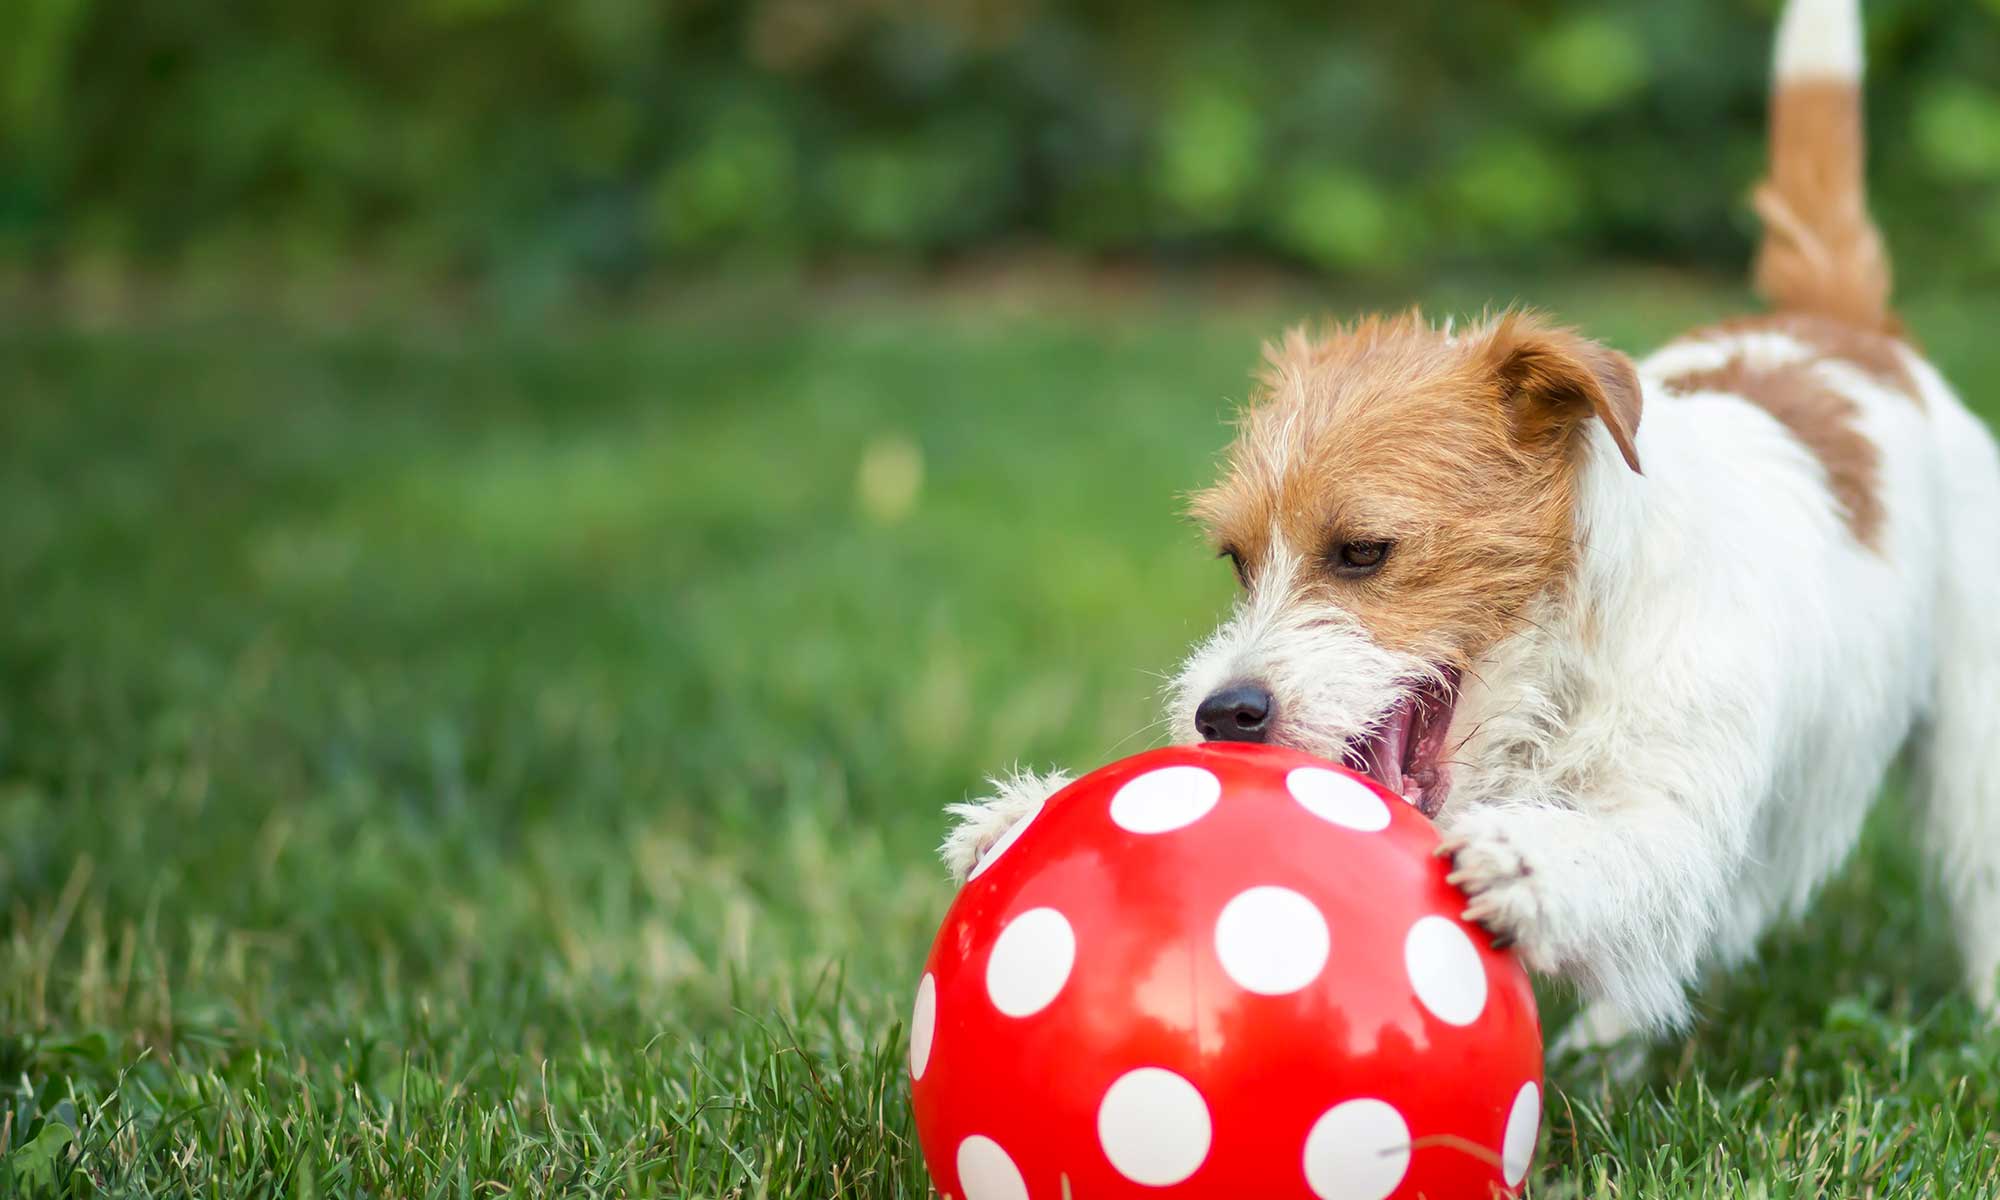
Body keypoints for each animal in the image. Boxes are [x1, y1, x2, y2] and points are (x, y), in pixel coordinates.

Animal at [944, 0, 2000, 1048]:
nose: (1223, 715)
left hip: (1973, 739)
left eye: (1363, 552)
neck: (1568, 656)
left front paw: (1525, 861)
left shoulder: (1679, 809)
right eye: (1237, 562)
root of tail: (1846, 329)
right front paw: (1026, 814)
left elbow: (1633, 852)